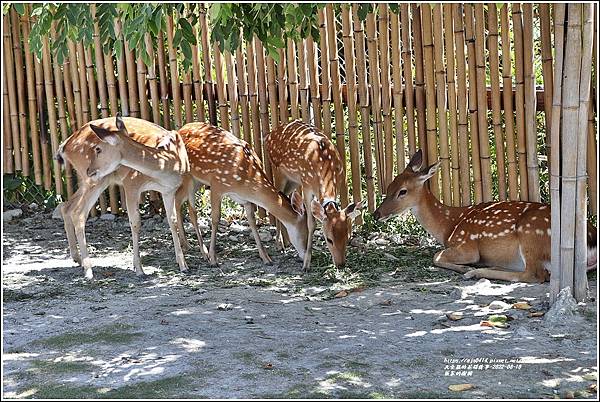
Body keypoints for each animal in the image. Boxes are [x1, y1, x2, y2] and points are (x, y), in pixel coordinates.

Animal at [54, 115, 199, 280]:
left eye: (98, 149)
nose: (90, 169)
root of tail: (64, 146)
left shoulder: (169, 191)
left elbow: (172, 221)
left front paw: (183, 265)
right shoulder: (131, 184)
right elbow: (135, 223)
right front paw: (139, 269)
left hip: (97, 179)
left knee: (67, 206)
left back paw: (78, 259)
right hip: (95, 180)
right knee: (78, 212)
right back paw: (89, 270)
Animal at [176, 122, 310, 266]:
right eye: (307, 235)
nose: (306, 256)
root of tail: (181, 128)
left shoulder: (245, 199)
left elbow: (252, 220)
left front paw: (266, 257)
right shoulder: (217, 185)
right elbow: (215, 219)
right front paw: (213, 259)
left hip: (198, 181)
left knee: (180, 201)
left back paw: (186, 244)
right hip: (187, 175)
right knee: (189, 208)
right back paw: (202, 252)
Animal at [264, 119, 364, 270]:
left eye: (347, 238)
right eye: (329, 239)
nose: (340, 264)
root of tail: (269, 135)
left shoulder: (340, 180)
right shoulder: (306, 185)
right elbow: (311, 223)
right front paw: (306, 263)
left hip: (293, 180)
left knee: (284, 197)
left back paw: (286, 242)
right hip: (279, 170)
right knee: (277, 196)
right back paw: (279, 244)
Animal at [372, 149, 596, 284]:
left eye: (402, 191)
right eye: (389, 186)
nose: (376, 214)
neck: (448, 225)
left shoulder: (466, 246)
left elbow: (436, 256)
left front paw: (463, 268)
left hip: (530, 234)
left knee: (534, 274)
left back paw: (474, 271)